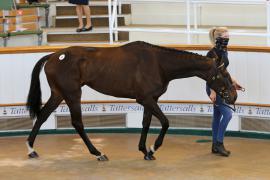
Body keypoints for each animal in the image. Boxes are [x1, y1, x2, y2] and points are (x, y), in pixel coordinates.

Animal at [25, 40, 236, 160]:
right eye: (224, 75)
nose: (234, 96)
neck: (158, 63)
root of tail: (54, 56)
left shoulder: (150, 99)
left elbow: (146, 123)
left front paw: (145, 151)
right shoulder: (145, 99)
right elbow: (165, 122)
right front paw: (153, 148)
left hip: (58, 94)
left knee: (42, 116)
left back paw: (31, 149)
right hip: (72, 94)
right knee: (77, 123)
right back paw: (98, 153)